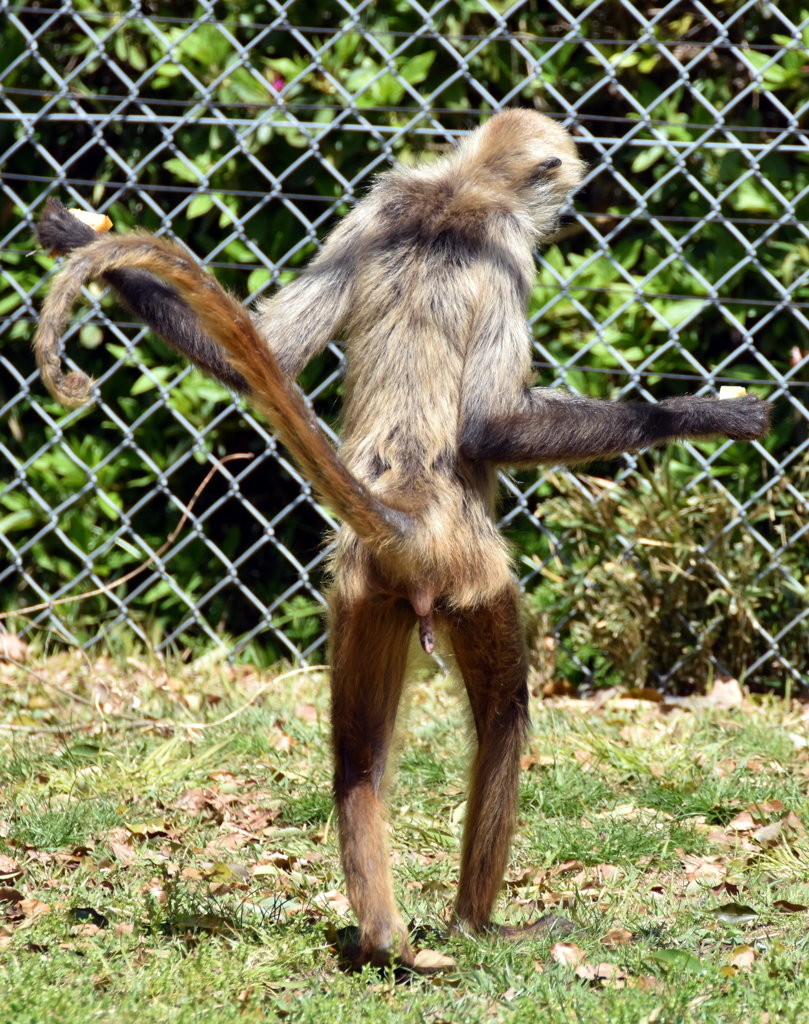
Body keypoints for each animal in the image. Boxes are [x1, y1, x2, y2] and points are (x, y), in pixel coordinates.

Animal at [33, 110, 774, 966]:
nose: (568, 210)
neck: (459, 190)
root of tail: (409, 513)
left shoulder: (379, 202)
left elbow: (264, 355)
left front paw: (68, 232)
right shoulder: (506, 248)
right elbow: (490, 426)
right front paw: (693, 414)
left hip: (367, 593)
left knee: (356, 761)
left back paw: (384, 940)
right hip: (475, 583)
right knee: (502, 719)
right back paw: (475, 926)